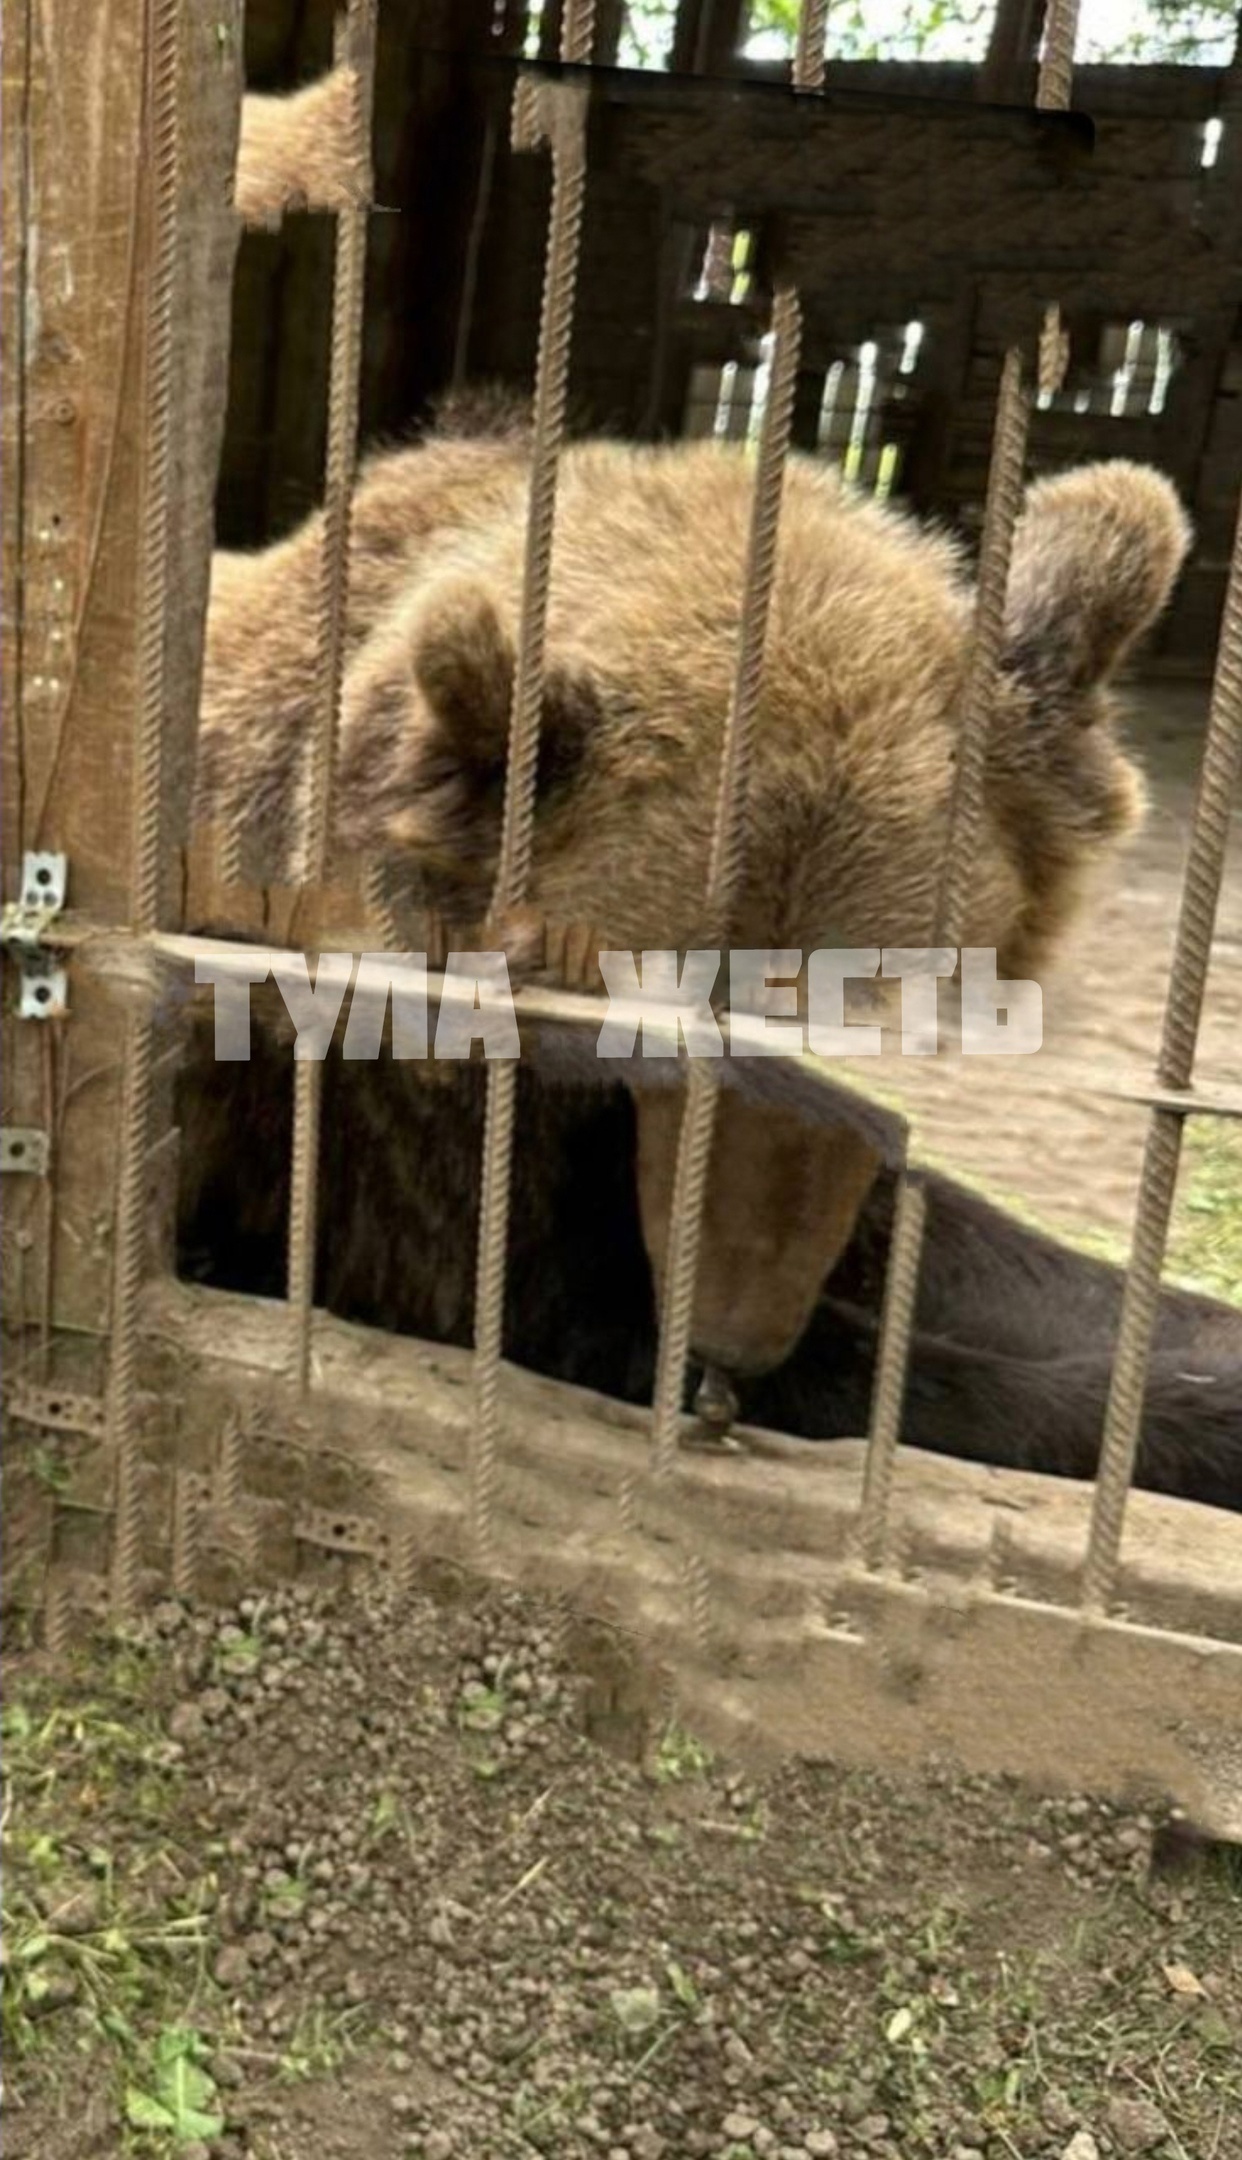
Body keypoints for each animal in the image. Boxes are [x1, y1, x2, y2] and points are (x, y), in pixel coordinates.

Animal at [177, 416, 1242, 1503]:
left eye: (865, 1038)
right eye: (657, 1032)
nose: (739, 1328)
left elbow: (966, 1240)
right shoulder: (377, 1133)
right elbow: (576, 1299)